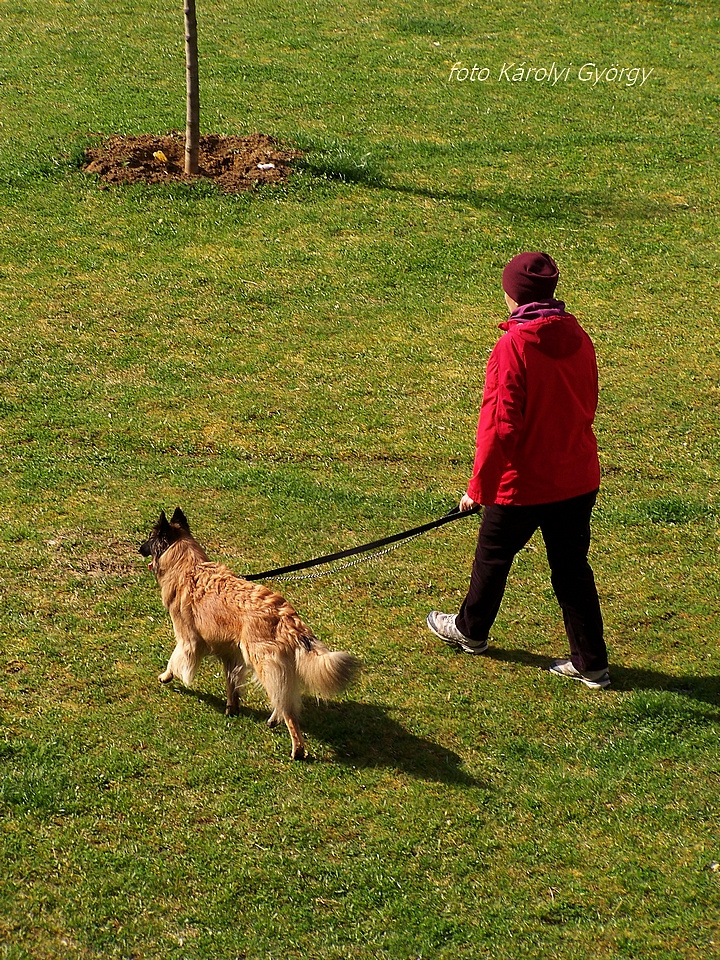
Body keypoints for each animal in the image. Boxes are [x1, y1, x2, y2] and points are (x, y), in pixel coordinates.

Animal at [138, 510, 360, 756]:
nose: (139, 548)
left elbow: (174, 659)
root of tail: (287, 618)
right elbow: (231, 683)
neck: (188, 566)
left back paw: (297, 749)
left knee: (288, 709)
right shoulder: (230, 653)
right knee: (283, 698)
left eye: (150, 537)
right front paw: (231, 707)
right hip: (274, 664)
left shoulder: (189, 640)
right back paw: (274, 720)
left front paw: (166, 676)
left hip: (263, 662)